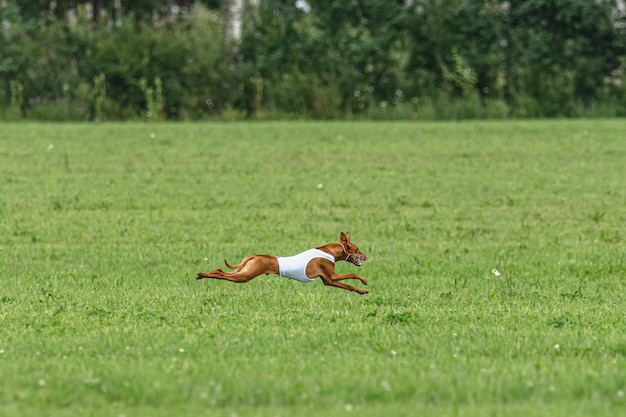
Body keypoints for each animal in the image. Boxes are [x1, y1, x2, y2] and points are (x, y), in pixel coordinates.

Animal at [197, 232, 368, 294]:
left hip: (242, 271)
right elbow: (353, 274)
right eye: (357, 249)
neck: (329, 252)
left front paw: (362, 291)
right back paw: (203, 275)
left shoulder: (329, 280)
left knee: (220, 270)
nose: (366, 257)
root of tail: (256, 255)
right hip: (245, 276)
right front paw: (364, 281)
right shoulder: (331, 275)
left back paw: (203, 274)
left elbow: (349, 286)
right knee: (222, 274)